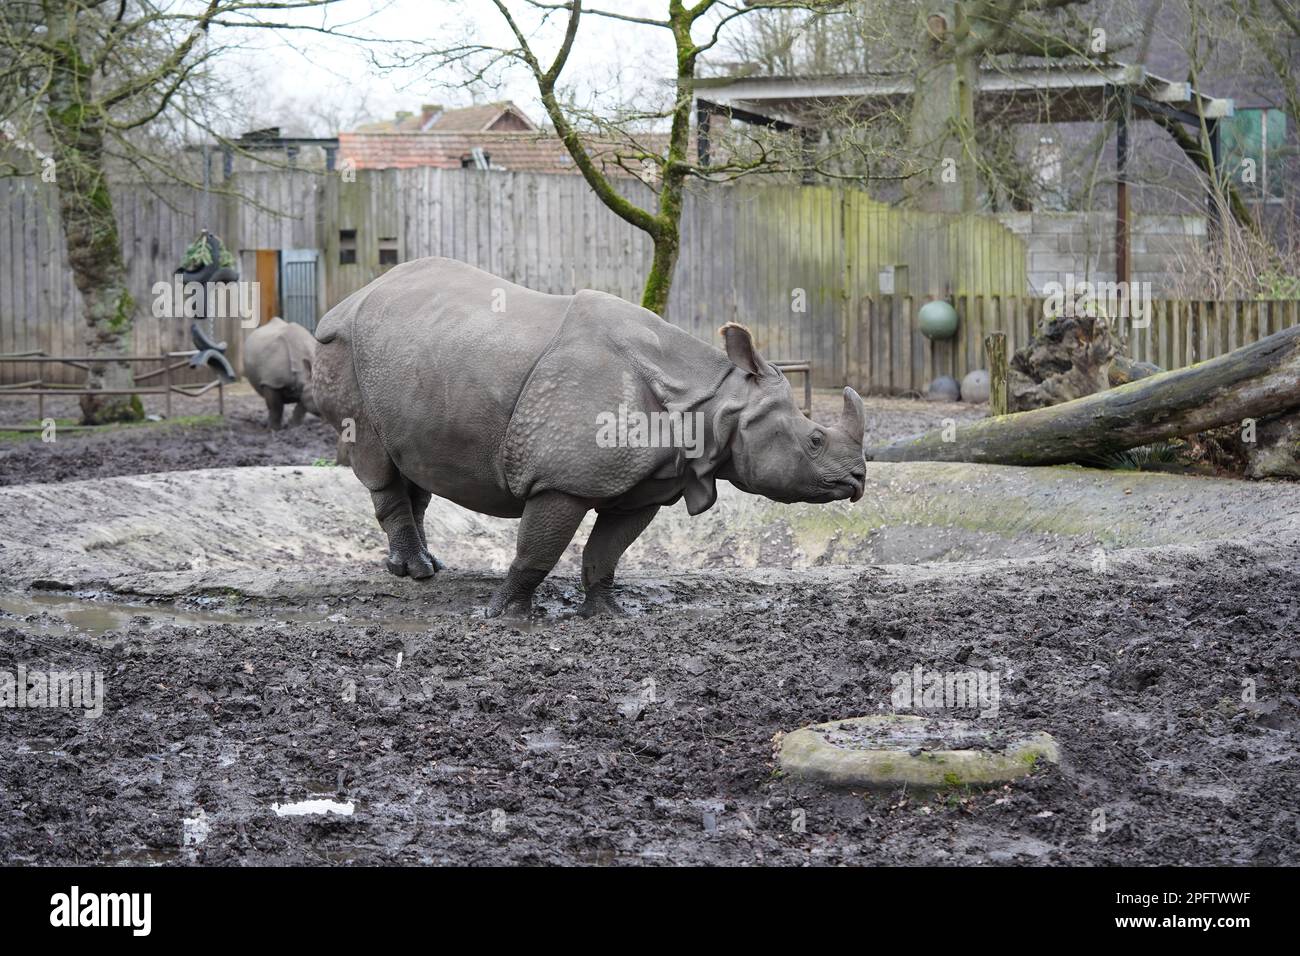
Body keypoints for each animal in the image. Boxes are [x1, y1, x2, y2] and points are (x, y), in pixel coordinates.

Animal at [312, 257, 866, 617]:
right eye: (815, 440)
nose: (859, 480)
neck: (713, 402)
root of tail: (346, 301)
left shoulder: (651, 484)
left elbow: (608, 549)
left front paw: (607, 614)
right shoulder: (562, 478)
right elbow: (538, 549)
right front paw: (503, 617)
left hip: (413, 361)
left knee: (413, 464)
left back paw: (428, 567)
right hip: (341, 349)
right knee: (376, 458)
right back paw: (417, 573)